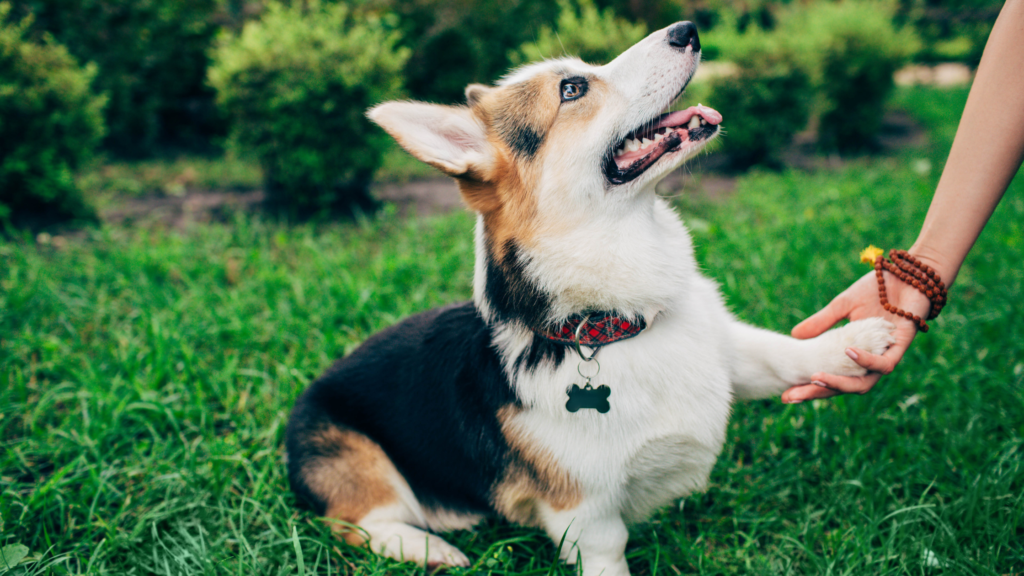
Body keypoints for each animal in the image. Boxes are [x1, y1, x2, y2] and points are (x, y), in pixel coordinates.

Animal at [284, 20, 892, 569]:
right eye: (573, 89)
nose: (688, 29)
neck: (618, 323)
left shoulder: (728, 350)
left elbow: (782, 353)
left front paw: (864, 337)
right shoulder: (585, 515)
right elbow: (610, 553)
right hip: (351, 454)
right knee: (357, 521)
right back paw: (430, 548)